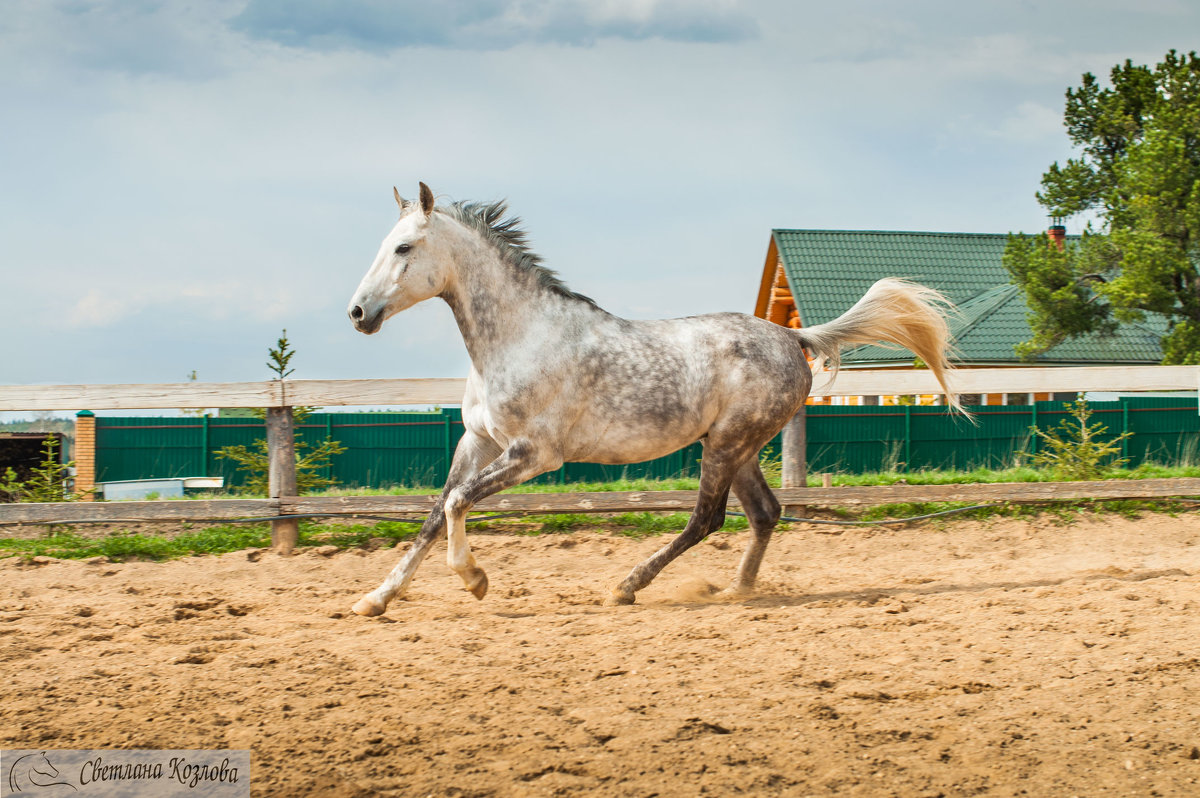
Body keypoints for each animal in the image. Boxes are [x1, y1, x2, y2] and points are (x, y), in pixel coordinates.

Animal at [345, 182, 955, 614]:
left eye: (403, 247)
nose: (357, 313)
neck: (522, 337)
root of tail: (794, 337)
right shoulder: (476, 441)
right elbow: (435, 512)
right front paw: (375, 599)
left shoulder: (534, 454)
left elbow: (455, 503)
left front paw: (475, 580)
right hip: (739, 447)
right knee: (764, 513)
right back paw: (736, 591)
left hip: (727, 445)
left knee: (708, 518)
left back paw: (627, 586)